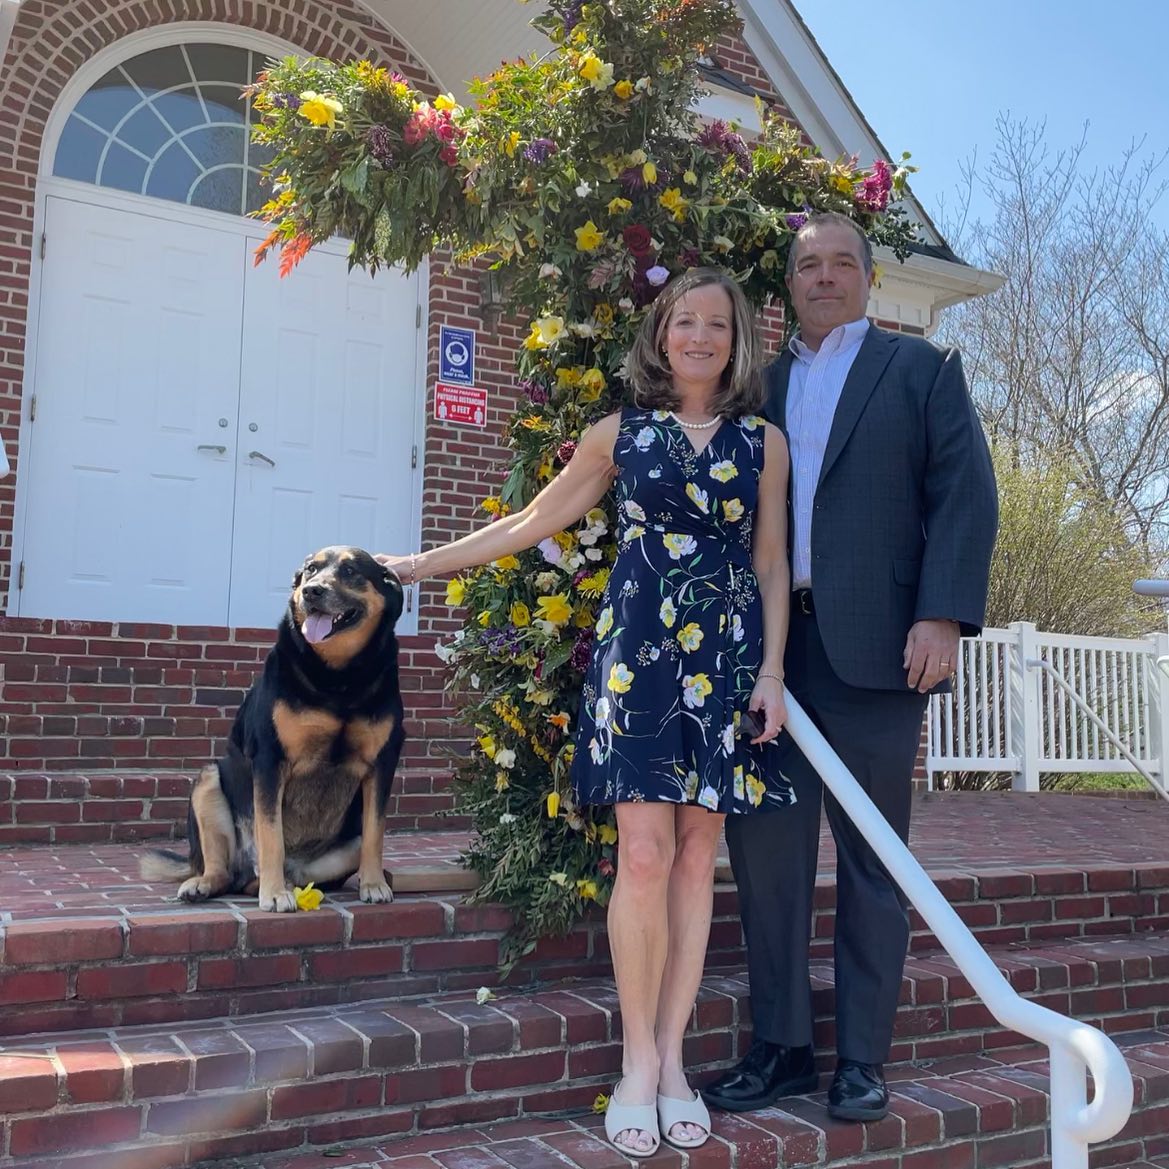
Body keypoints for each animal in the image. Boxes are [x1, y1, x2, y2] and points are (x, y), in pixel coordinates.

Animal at [142, 547, 406, 911]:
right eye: (310, 570)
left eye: (351, 571)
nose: (311, 591)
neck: (338, 677)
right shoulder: (270, 758)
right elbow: (271, 834)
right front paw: (274, 894)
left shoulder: (383, 762)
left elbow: (376, 834)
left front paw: (374, 884)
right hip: (208, 783)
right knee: (222, 871)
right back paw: (206, 885)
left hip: (341, 849)